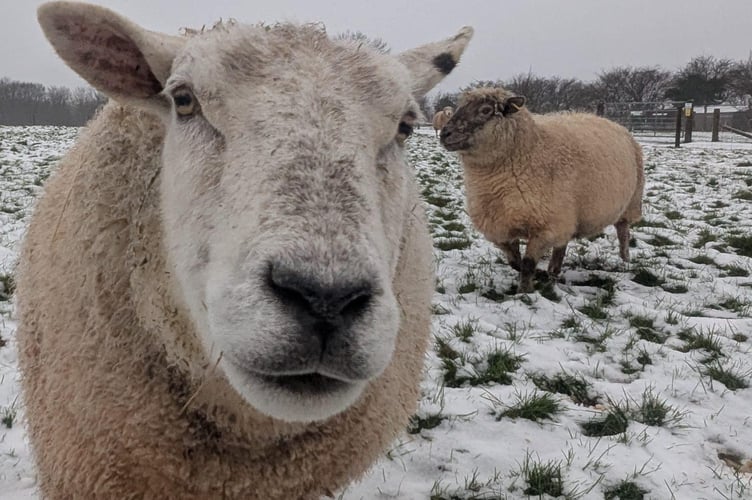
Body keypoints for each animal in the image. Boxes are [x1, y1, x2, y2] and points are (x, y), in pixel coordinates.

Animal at [440, 87, 648, 292]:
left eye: (485, 110)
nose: (444, 134)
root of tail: (613, 123)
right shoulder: (501, 226)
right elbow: (515, 262)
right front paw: (537, 276)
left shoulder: (546, 227)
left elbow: (527, 264)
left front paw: (524, 292)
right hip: (567, 216)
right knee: (562, 245)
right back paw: (553, 271)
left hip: (630, 202)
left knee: (623, 231)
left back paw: (624, 260)